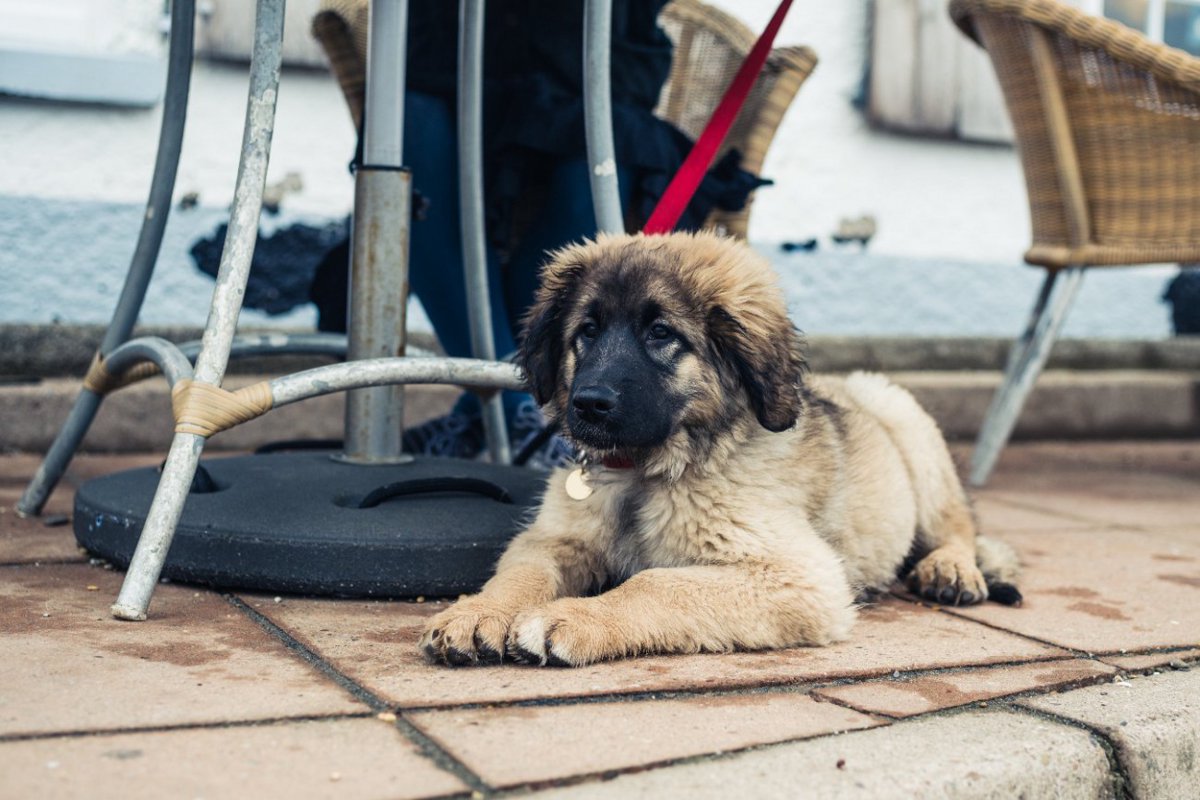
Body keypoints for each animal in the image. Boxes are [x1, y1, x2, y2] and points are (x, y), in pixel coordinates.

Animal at [422, 231, 1022, 671]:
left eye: (661, 333)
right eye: (586, 331)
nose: (587, 404)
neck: (647, 470)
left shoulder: (799, 576)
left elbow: (657, 582)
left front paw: (574, 619)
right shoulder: (557, 537)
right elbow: (521, 570)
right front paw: (479, 613)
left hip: (901, 414)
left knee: (957, 523)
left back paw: (951, 568)